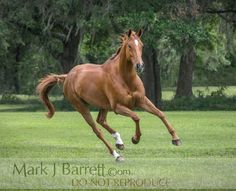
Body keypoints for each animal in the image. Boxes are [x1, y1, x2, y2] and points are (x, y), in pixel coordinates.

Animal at [36, 29, 181, 161]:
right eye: (129, 46)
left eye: (141, 45)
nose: (140, 66)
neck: (125, 78)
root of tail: (68, 76)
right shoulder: (118, 107)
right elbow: (136, 117)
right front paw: (135, 138)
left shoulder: (141, 100)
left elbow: (160, 113)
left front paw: (176, 139)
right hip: (81, 107)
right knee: (97, 130)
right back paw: (117, 155)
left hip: (104, 106)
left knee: (101, 120)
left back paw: (119, 142)